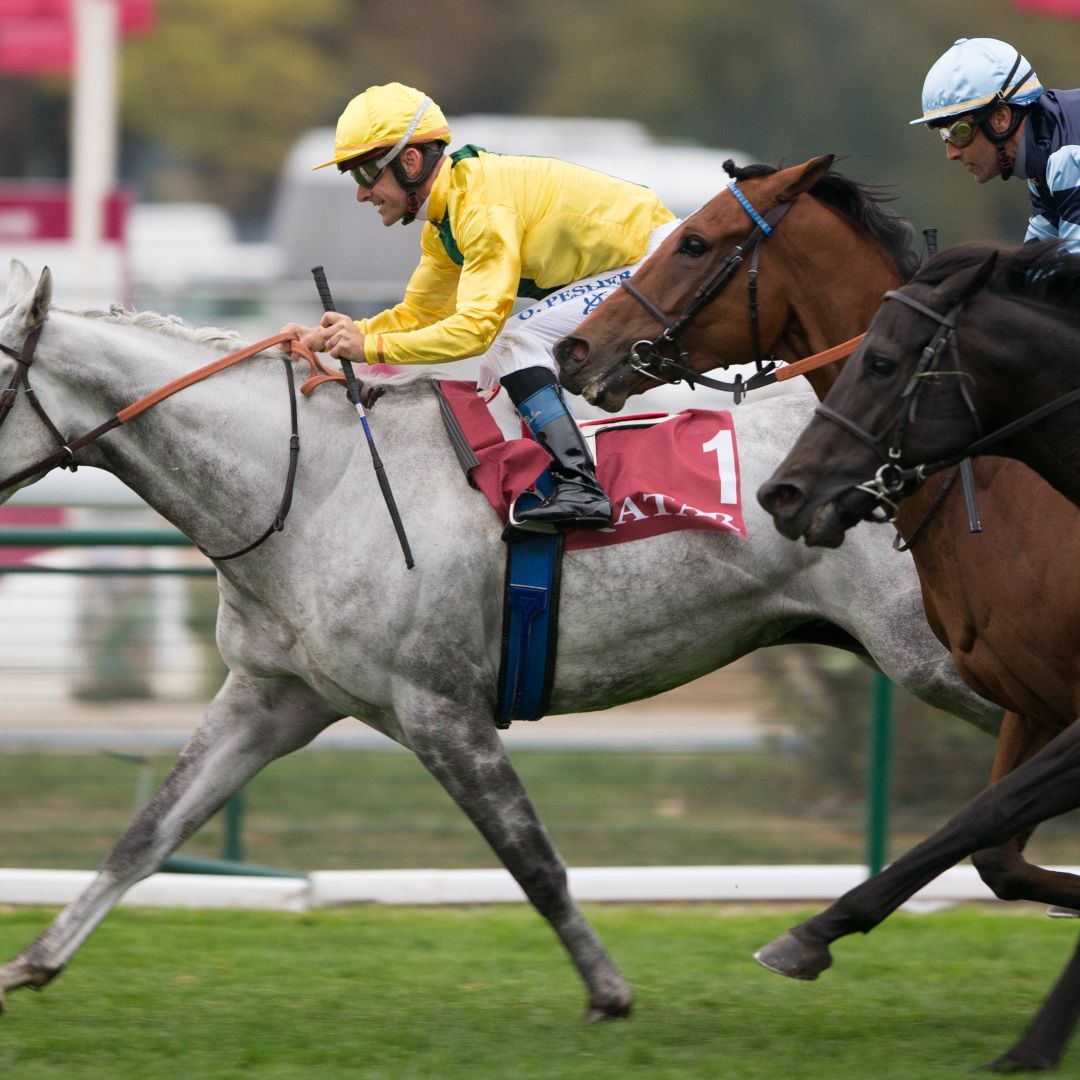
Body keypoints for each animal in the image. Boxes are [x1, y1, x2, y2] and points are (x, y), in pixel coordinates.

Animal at [0, 258, 995, 1022]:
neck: (313, 484)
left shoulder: (439, 706)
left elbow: (533, 860)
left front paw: (608, 992)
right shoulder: (274, 695)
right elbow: (146, 833)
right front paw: (32, 962)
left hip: (935, 657)